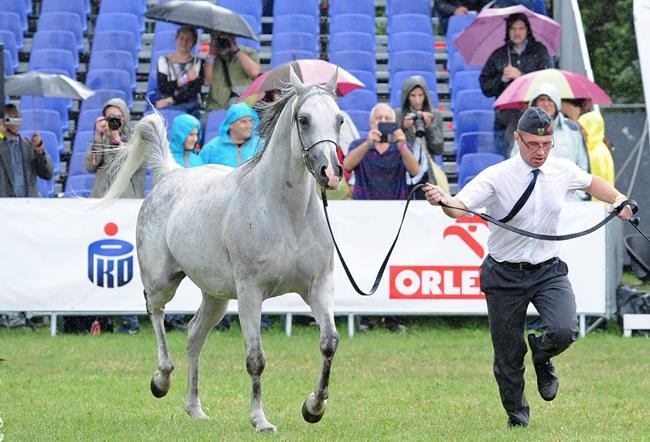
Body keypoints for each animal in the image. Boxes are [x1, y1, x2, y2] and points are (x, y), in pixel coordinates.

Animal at [101, 69, 344, 432]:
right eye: (304, 119)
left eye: (339, 119)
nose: (330, 172)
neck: (286, 212)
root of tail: (170, 174)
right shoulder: (250, 293)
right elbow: (255, 359)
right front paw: (260, 420)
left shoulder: (318, 286)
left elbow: (329, 343)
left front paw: (313, 408)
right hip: (162, 282)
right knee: (155, 311)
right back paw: (161, 380)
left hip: (216, 296)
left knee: (193, 335)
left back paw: (195, 409)